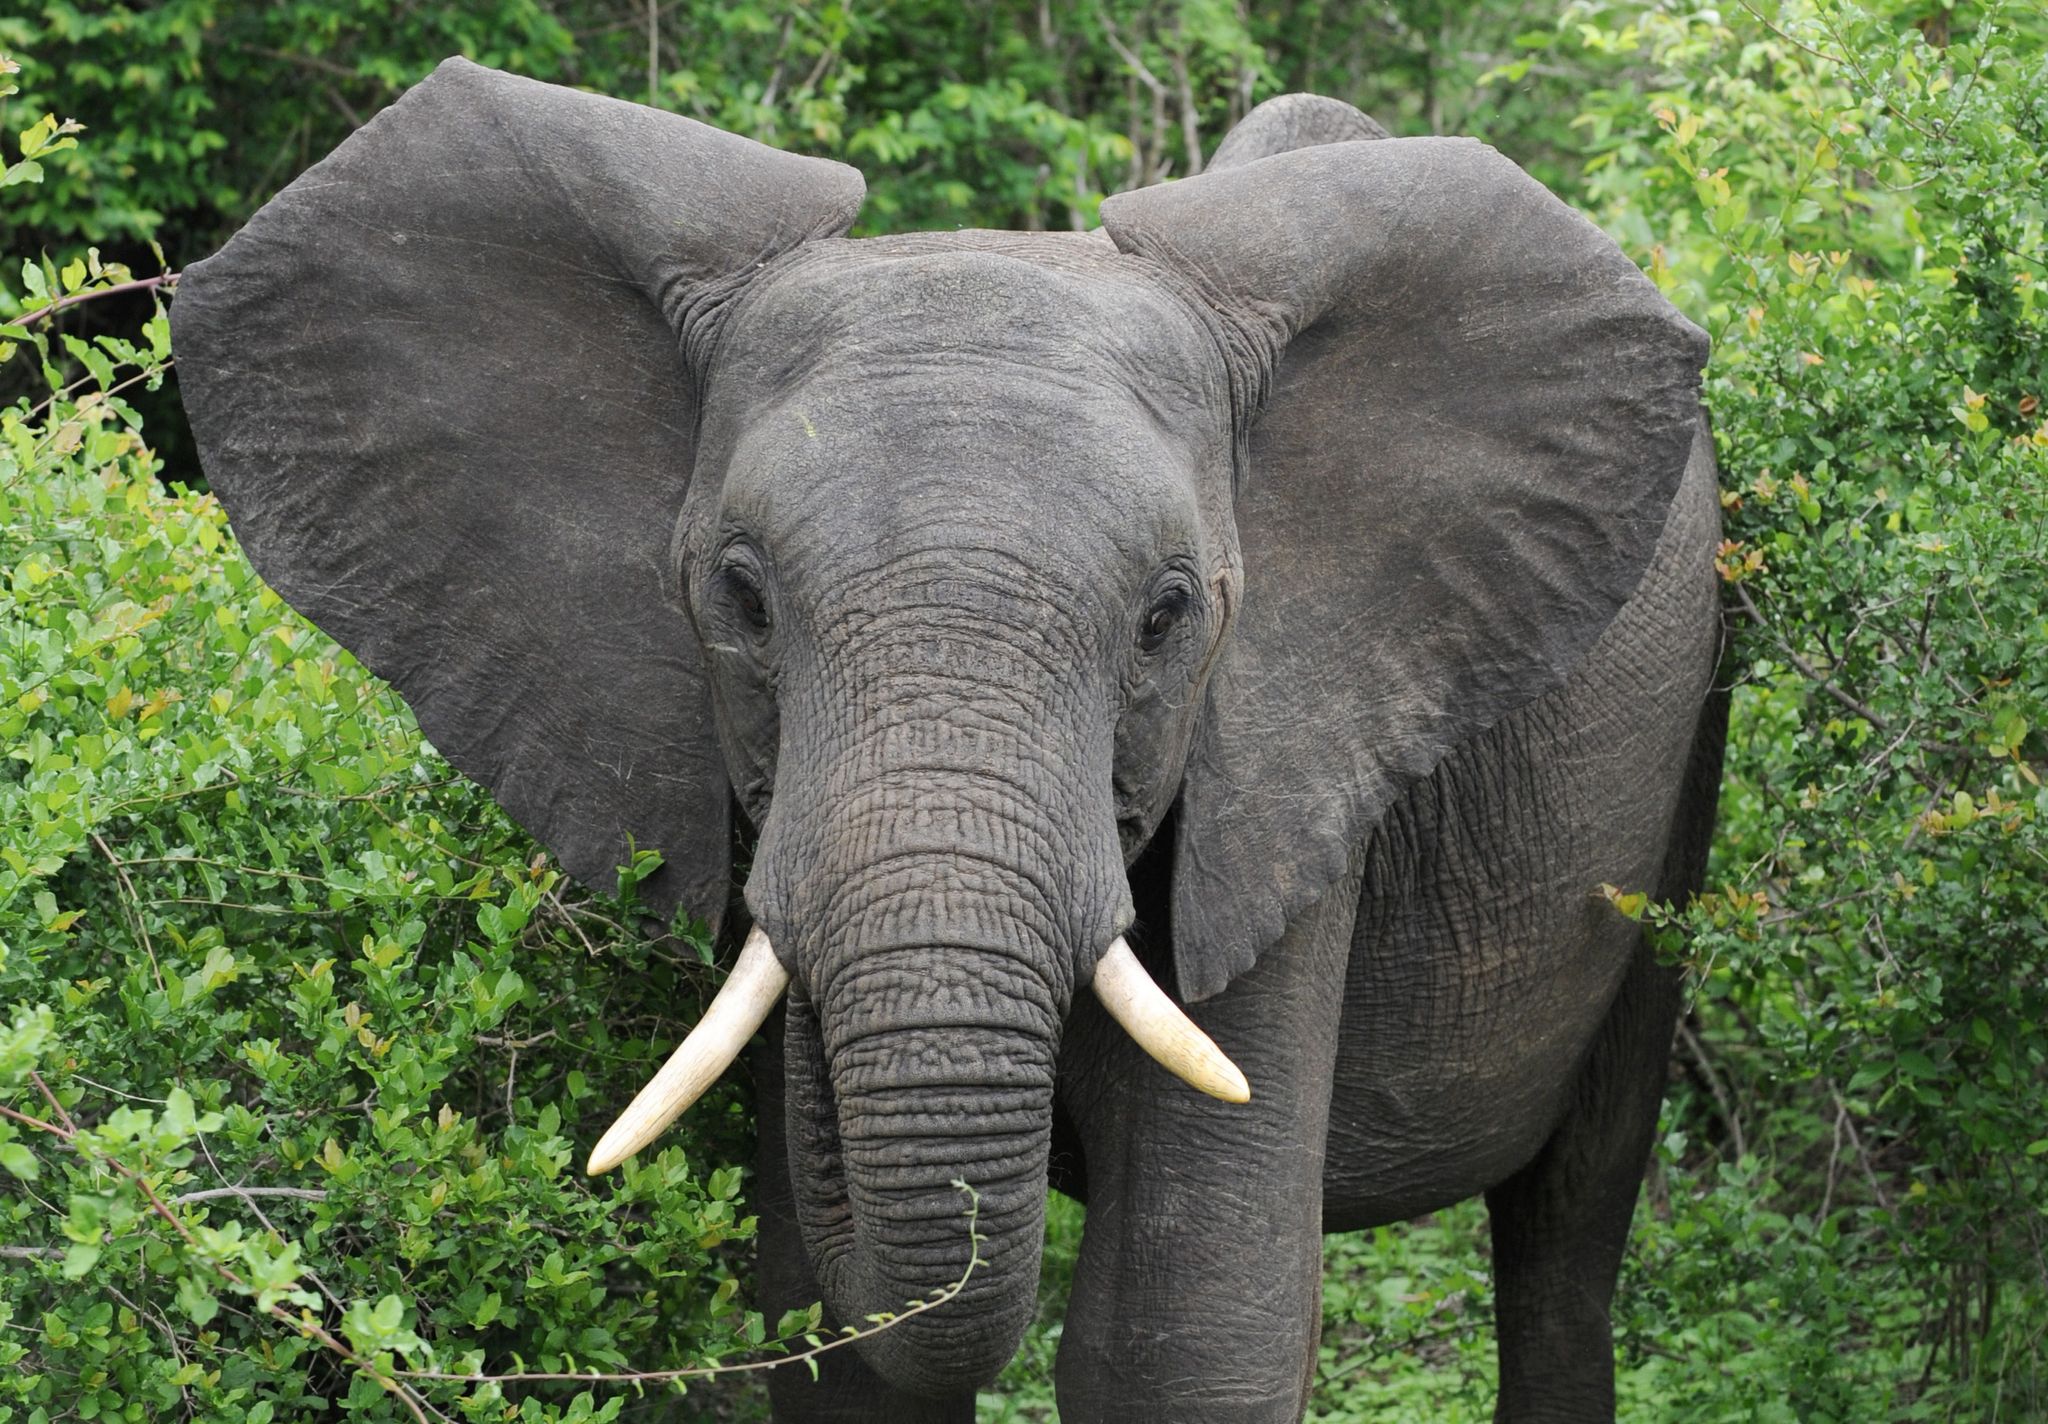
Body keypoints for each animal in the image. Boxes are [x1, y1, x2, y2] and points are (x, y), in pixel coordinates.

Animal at [167, 58, 1720, 1424]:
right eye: (740, 598)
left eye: (1168, 617)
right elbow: (840, 1355)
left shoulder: (1286, 760)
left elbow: (1179, 1341)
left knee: (1569, 1226)